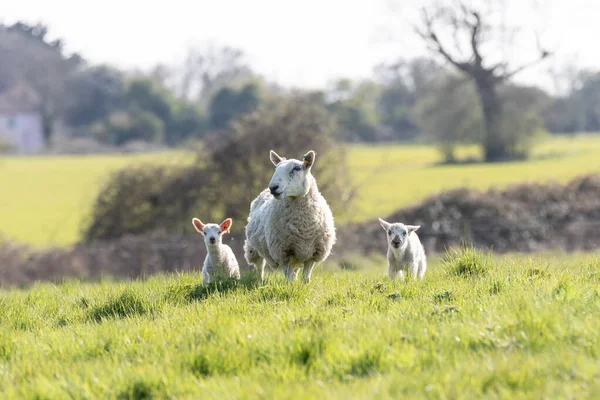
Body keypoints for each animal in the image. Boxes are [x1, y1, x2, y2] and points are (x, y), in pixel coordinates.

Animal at [244, 148, 338, 282]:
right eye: (276, 169)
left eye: (297, 168)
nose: (273, 187)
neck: (303, 226)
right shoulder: (283, 253)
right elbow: (289, 280)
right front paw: (291, 286)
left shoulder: (313, 253)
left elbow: (305, 278)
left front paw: (304, 285)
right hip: (253, 248)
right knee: (259, 265)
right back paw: (260, 280)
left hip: (298, 255)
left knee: (294, 270)